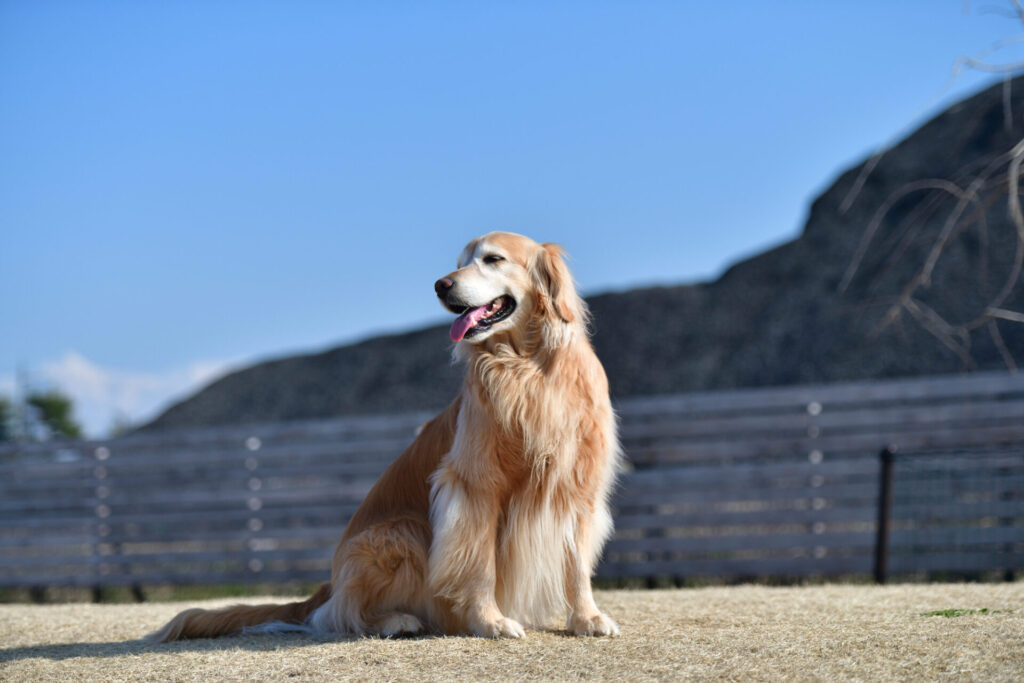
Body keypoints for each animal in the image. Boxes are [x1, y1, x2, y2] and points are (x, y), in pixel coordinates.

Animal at [148, 233, 618, 643]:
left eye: (493, 259)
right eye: (460, 260)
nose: (440, 284)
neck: (530, 368)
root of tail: (329, 582)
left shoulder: (579, 488)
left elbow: (577, 566)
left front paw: (587, 618)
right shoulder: (474, 487)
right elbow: (480, 562)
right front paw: (490, 621)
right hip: (399, 532)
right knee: (338, 614)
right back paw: (396, 619)